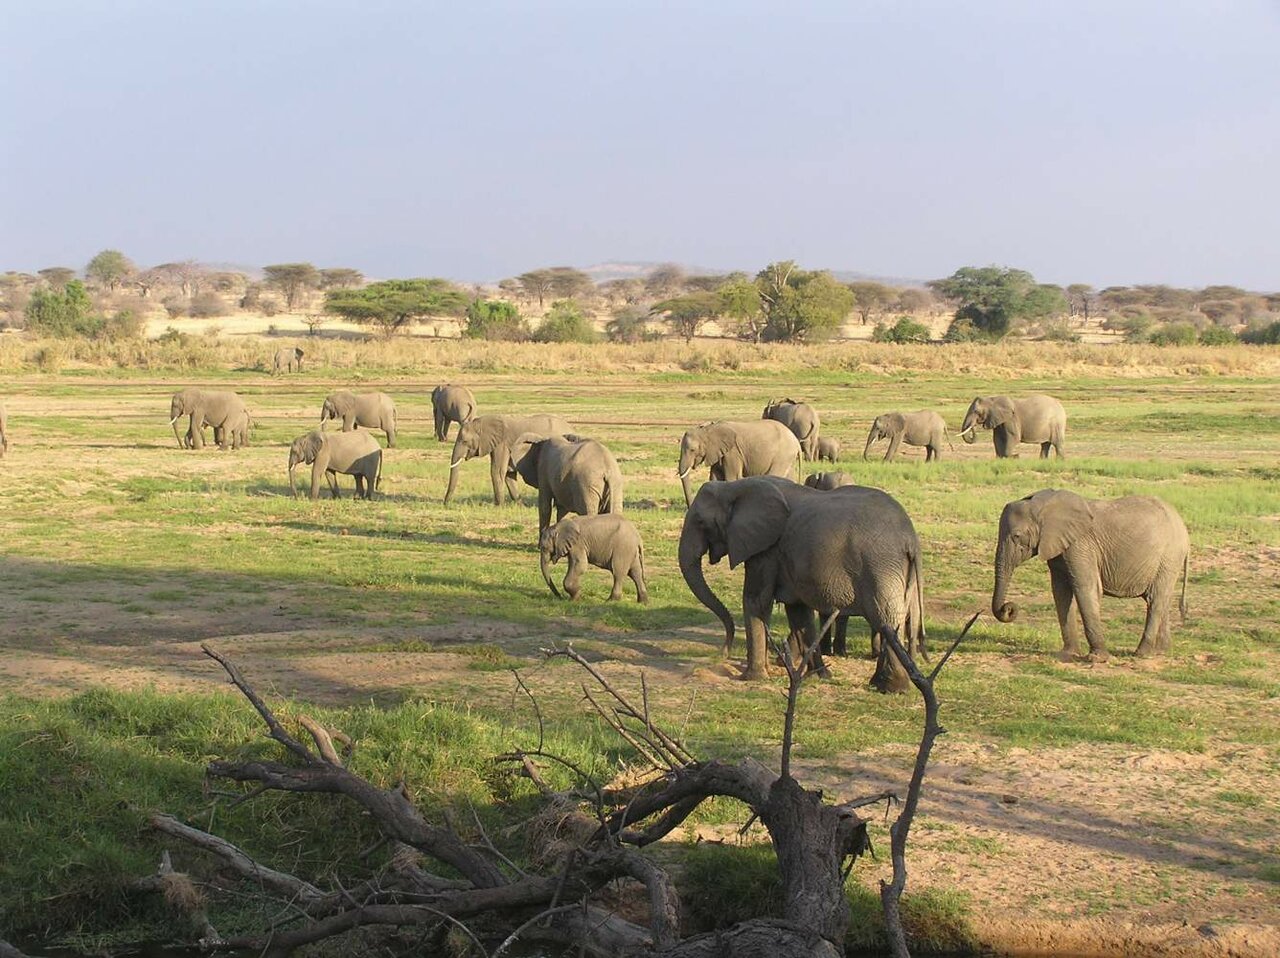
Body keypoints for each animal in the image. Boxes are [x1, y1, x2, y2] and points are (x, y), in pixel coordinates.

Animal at [445, 413, 573, 506]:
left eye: (464, 441)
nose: (446, 504)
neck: (481, 422)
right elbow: (508, 473)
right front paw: (520, 505)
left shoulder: (502, 444)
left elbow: (497, 471)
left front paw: (498, 506)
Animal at [679, 476, 927, 692]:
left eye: (700, 522)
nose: (723, 652)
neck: (734, 487)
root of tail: (911, 539)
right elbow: (798, 612)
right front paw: (819, 676)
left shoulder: (766, 550)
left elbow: (755, 601)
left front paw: (751, 678)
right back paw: (885, 684)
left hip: (880, 566)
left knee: (886, 619)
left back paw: (891, 688)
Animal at [992, 489, 1190, 659]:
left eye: (1017, 536)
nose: (1008, 608)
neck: (1045, 505)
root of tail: (1184, 529)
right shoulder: (1059, 547)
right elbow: (1061, 592)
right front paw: (1067, 654)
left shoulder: (1080, 545)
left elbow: (1086, 587)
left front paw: (1097, 658)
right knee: (1161, 599)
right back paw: (1161, 651)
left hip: (1169, 557)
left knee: (1155, 599)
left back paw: (1142, 653)